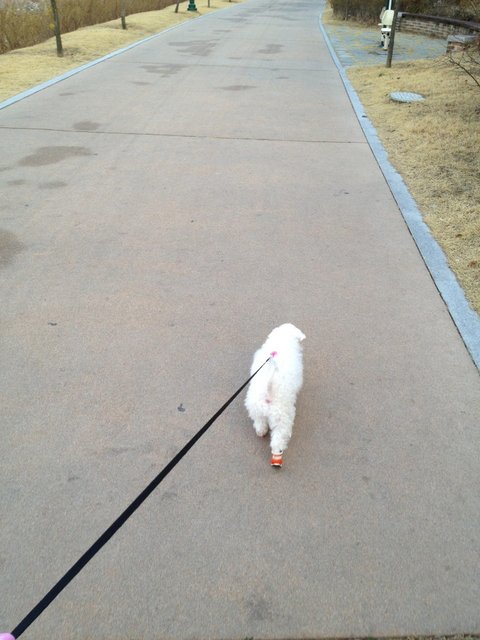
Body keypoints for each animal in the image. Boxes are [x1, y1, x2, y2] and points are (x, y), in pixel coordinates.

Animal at [245, 323, 305, 467]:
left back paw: (261, 432)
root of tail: (268, 390)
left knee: (260, 423)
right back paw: (277, 458)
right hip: (282, 418)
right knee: (278, 440)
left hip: (256, 409)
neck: (282, 340)